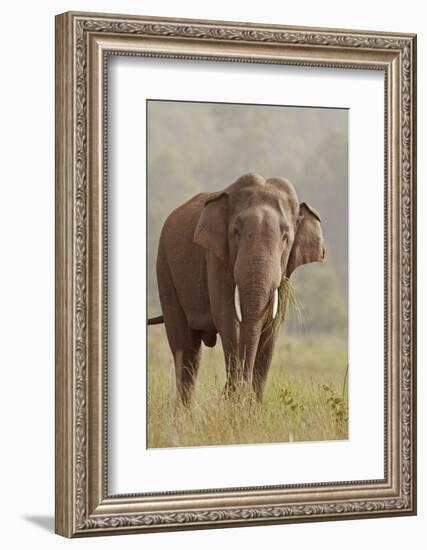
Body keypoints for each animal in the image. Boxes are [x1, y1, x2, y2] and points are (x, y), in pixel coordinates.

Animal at [149, 175, 326, 408]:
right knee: (185, 347)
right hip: (165, 270)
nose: (227, 392)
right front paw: (236, 402)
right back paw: (183, 413)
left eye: (285, 238)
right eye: (236, 232)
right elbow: (228, 320)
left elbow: (272, 327)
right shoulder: (216, 259)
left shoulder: (286, 273)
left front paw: (252, 408)